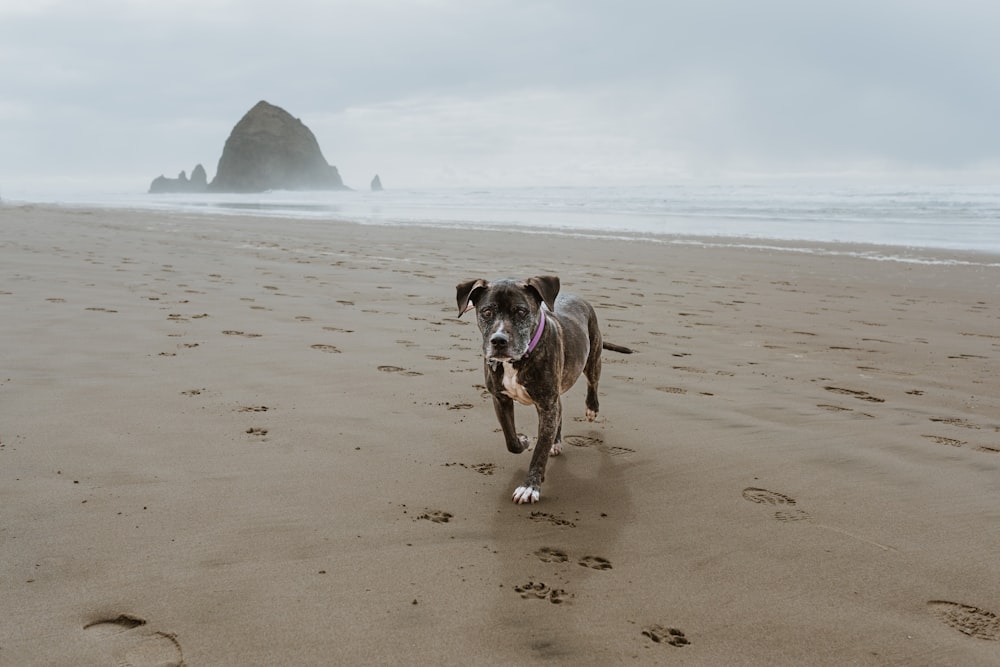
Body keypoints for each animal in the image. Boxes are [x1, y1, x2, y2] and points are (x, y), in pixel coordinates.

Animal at [456, 274, 628, 504]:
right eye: (487, 312)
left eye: (521, 311)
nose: (499, 340)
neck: (517, 361)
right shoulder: (500, 399)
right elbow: (510, 439)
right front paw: (523, 441)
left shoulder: (546, 405)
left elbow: (540, 450)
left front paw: (530, 487)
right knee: (560, 410)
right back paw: (556, 441)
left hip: (592, 357)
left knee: (593, 382)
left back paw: (592, 409)